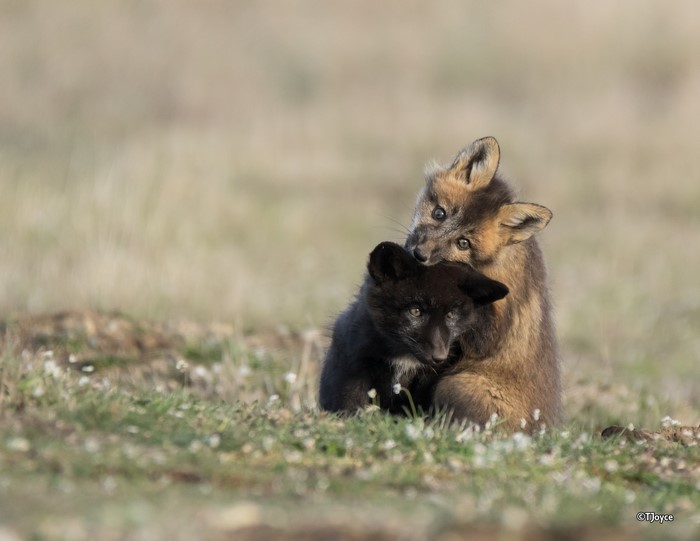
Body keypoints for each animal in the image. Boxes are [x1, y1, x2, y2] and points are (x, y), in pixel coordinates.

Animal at [319, 241, 508, 415]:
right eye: (415, 311)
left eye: (451, 314)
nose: (439, 357)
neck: (404, 356)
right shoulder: (353, 361)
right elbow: (350, 400)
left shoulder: (429, 377)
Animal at [404, 136, 560, 432]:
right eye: (439, 213)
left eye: (463, 243)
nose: (419, 254)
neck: (488, 263)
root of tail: (543, 431)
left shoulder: (490, 333)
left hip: (459, 385)